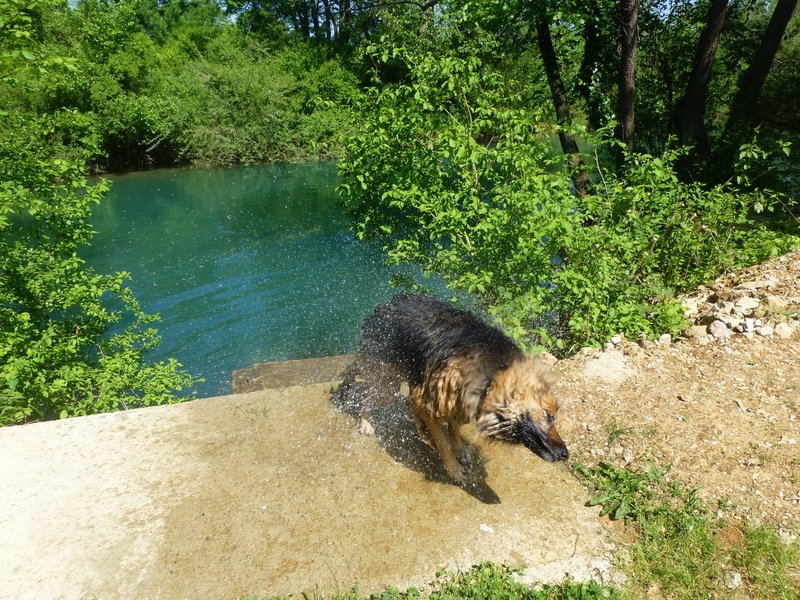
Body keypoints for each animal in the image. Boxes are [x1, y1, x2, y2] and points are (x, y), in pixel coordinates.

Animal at [332, 296, 568, 482]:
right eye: (549, 416)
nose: (566, 454)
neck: (492, 373)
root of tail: (383, 306)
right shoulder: (427, 399)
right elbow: (441, 441)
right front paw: (453, 468)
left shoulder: (457, 402)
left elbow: (453, 428)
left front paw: (459, 450)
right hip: (387, 381)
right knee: (367, 394)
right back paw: (365, 422)